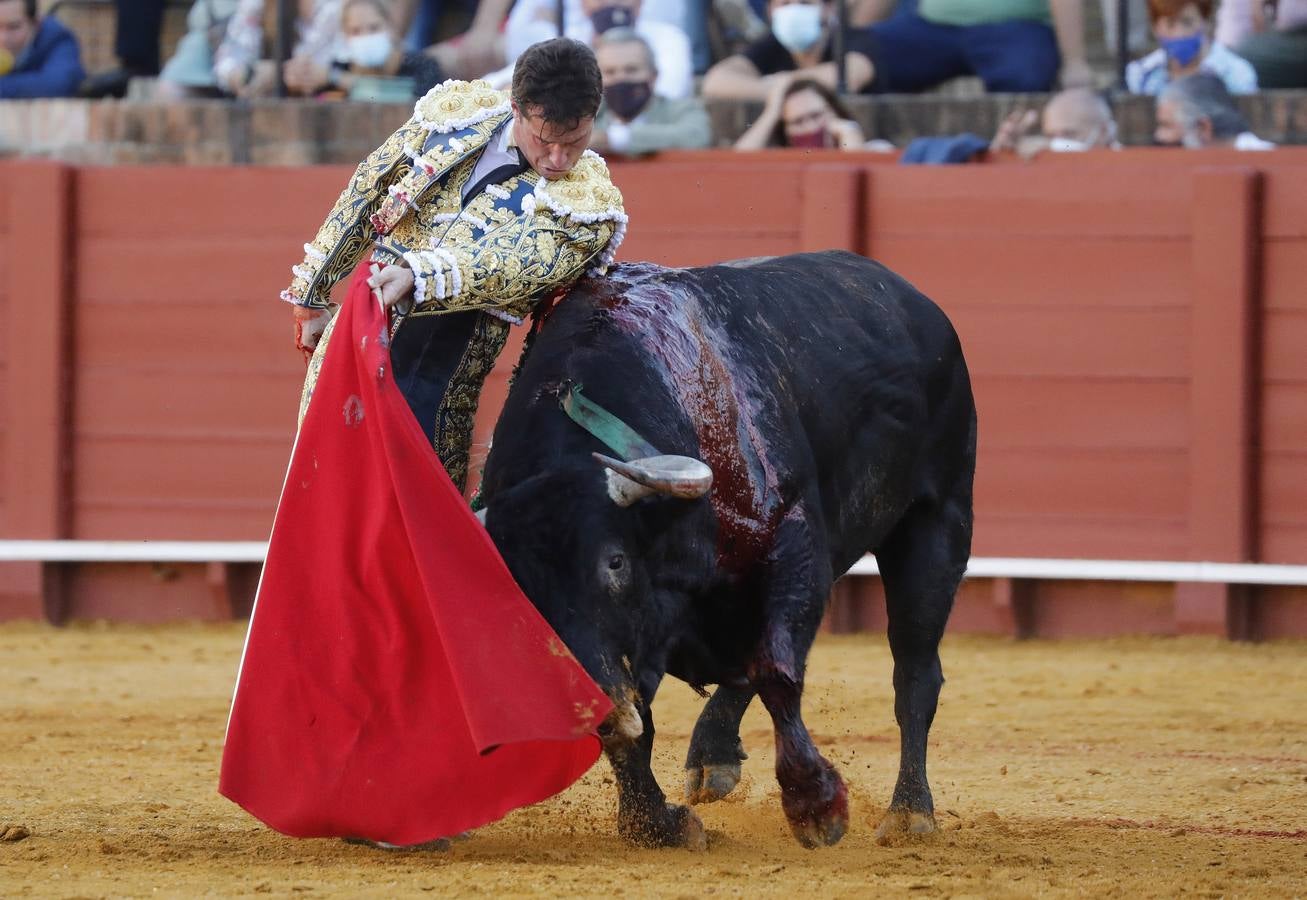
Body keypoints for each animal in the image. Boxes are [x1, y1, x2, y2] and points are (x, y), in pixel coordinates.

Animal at [478, 249, 972, 846]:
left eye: (615, 562)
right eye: (519, 587)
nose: (586, 711)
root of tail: (910, 296)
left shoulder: (795, 545)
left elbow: (777, 673)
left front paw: (816, 805)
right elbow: (643, 722)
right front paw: (656, 824)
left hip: (937, 520)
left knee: (914, 672)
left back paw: (909, 814)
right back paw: (712, 756)